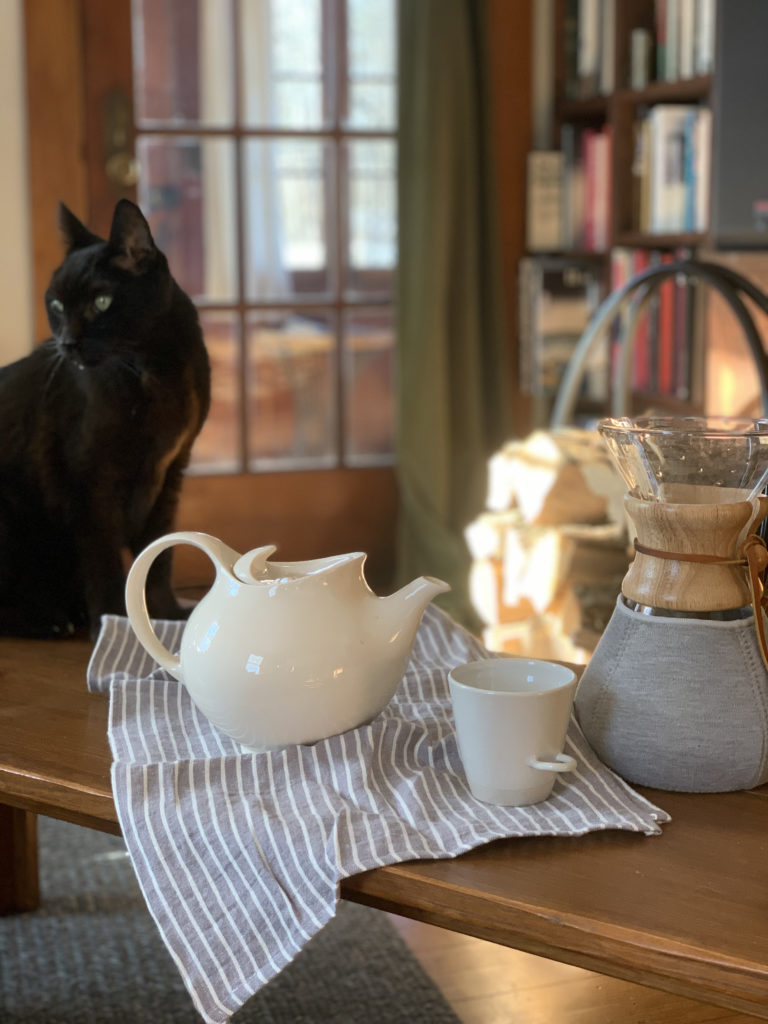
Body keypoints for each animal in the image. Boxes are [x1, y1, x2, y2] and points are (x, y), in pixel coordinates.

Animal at [0, 195, 210, 634]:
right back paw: (50, 621)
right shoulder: (89, 481)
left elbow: (158, 558)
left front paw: (165, 614)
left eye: (101, 302)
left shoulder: (170, 472)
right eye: (56, 304)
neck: (152, 369)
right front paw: (116, 622)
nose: (67, 342)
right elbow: (106, 562)